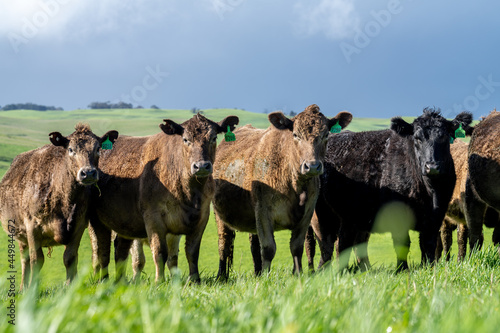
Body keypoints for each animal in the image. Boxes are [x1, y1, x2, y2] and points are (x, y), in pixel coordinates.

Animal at [0, 123, 118, 290]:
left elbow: (70, 257)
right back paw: (23, 287)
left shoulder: (78, 225)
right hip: (19, 234)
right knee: (25, 260)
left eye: (98, 148)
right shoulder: (31, 226)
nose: (88, 173)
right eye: (70, 149)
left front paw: (70, 286)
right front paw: (33, 289)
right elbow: (36, 259)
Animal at [89, 113, 239, 282]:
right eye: (185, 139)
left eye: (213, 138)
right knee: (98, 252)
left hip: (125, 223)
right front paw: (159, 281)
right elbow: (160, 253)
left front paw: (194, 280)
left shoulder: (200, 218)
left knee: (120, 250)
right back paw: (99, 278)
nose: (201, 166)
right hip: (96, 222)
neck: (189, 193)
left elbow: (190, 253)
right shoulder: (153, 218)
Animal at [213, 104, 354, 278]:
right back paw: (222, 276)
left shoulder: (306, 215)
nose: (312, 166)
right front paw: (266, 278)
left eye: (326, 134)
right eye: (295, 134)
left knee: (254, 245)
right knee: (224, 243)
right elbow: (268, 248)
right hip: (220, 215)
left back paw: (257, 272)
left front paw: (298, 274)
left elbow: (297, 247)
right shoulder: (263, 212)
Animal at [304, 107, 472, 272]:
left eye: (444, 137)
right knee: (327, 244)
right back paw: (324, 271)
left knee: (347, 243)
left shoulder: (435, 216)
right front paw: (402, 269)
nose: (432, 166)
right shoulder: (397, 214)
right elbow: (402, 244)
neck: (430, 191)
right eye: (417, 138)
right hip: (321, 214)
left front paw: (428, 268)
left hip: (352, 217)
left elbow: (428, 244)